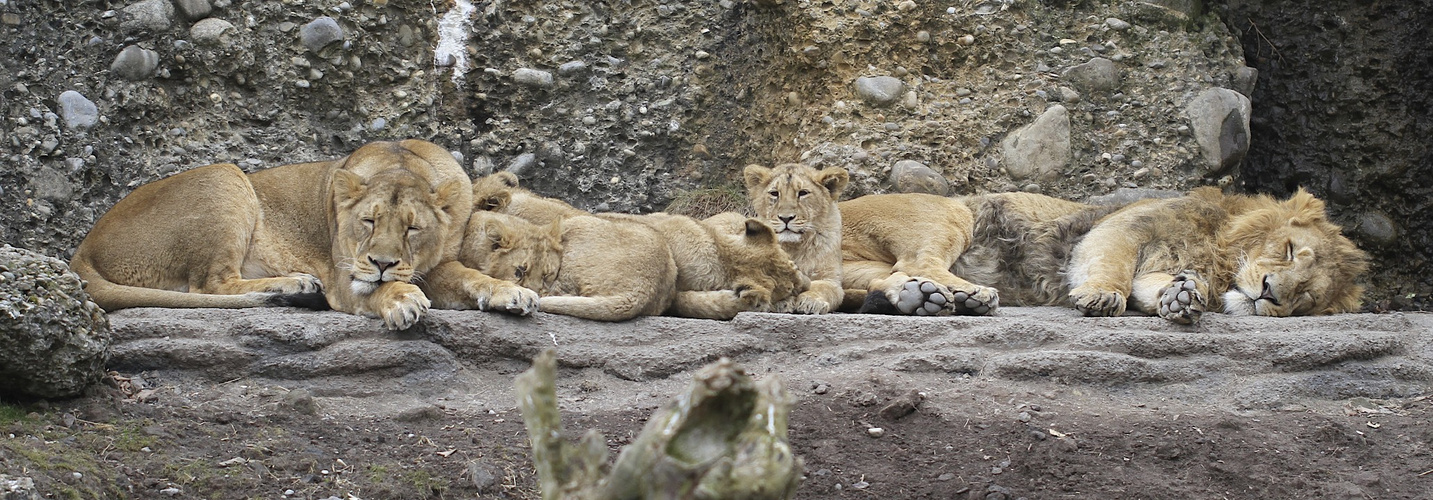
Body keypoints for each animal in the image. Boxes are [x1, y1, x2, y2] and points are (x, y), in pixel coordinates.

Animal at [68, 138, 538, 329]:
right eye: (368, 221)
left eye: (412, 228)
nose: (382, 263)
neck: (401, 165)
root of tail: (83, 248)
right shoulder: (345, 275)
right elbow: (380, 290)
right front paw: (402, 301)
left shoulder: (438, 264)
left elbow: (470, 276)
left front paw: (510, 292)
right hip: (225, 175)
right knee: (211, 285)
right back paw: (296, 285)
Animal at [745, 162, 842, 312]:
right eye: (774, 193)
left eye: (803, 193)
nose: (786, 218)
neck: (794, 246)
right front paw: (783, 303)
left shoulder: (831, 279)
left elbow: (821, 288)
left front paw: (811, 301)